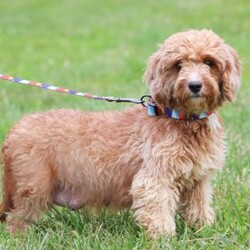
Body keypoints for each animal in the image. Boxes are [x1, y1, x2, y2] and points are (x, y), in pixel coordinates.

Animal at [0, 29, 242, 236]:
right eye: (178, 64)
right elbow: (158, 212)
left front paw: (205, 231)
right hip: (32, 189)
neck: (180, 118)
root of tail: (15, 130)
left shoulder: (198, 182)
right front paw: (165, 239)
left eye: (209, 62)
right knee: (16, 220)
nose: (194, 85)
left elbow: (199, 208)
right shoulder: (154, 180)